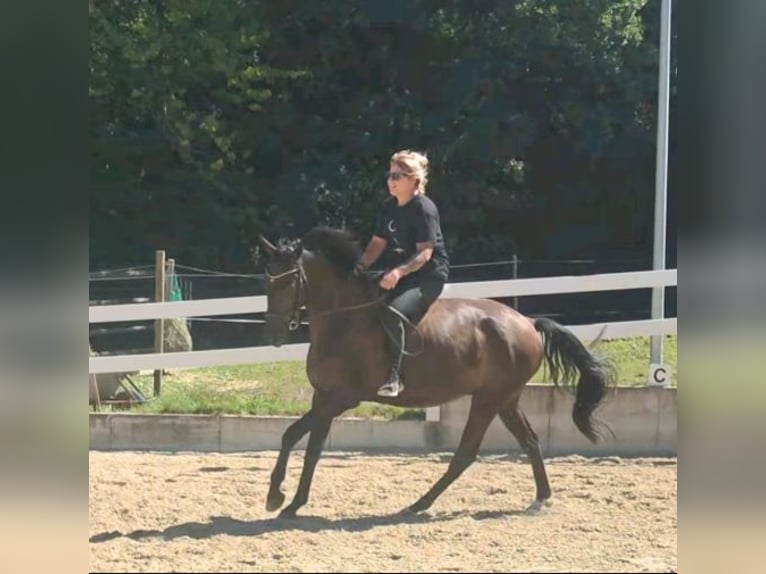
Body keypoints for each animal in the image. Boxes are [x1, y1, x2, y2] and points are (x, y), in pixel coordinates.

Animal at [256, 226, 616, 518]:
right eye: (267, 281)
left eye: (290, 280)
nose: (273, 335)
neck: (344, 318)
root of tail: (527, 322)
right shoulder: (323, 397)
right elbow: (300, 441)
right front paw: (285, 499)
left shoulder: (341, 398)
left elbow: (302, 442)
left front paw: (283, 499)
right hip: (506, 400)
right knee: (529, 441)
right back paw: (541, 498)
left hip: (488, 400)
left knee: (466, 453)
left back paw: (419, 504)